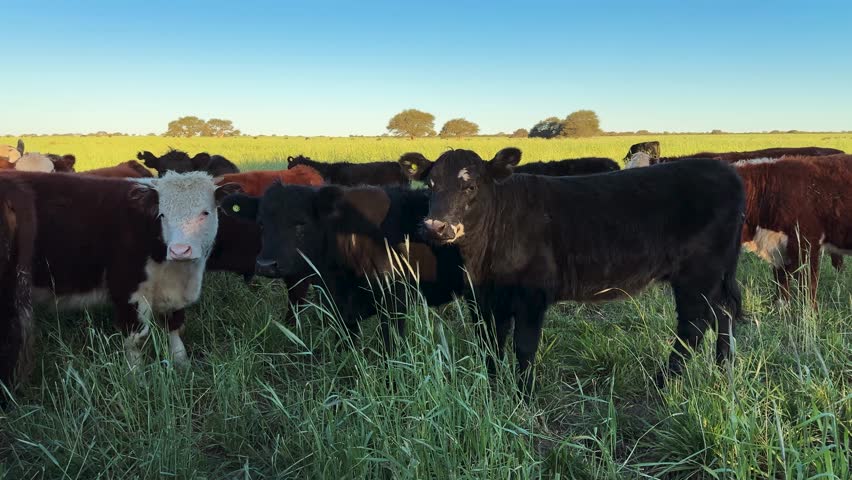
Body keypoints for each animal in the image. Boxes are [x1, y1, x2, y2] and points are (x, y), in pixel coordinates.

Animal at [11, 171, 238, 369]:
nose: (180, 250)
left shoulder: (173, 295)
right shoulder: (127, 291)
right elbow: (135, 339)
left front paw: (182, 363)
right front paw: (135, 374)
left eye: (205, 213)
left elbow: (174, 327)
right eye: (162, 215)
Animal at [421, 149, 744, 398]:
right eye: (430, 185)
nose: (435, 226)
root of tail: (724, 171)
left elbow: (524, 348)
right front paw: (493, 390)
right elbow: (489, 346)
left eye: (470, 187)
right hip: (714, 277)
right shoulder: (483, 300)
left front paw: (522, 397)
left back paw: (662, 383)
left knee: (693, 326)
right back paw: (723, 368)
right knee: (723, 313)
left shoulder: (531, 296)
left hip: (697, 275)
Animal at [735, 155, 852, 304]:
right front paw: (782, 307)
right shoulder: (779, 249)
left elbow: (808, 284)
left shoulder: (807, 244)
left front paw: (810, 309)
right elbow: (781, 282)